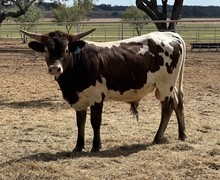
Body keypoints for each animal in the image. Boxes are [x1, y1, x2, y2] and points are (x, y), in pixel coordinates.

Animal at [20, 28, 186, 153]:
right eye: (46, 50)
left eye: (66, 50)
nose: (55, 68)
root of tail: (171, 35)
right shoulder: (80, 99)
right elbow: (80, 122)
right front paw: (78, 146)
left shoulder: (97, 97)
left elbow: (95, 122)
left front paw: (96, 146)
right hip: (171, 86)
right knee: (177, 103)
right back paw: (182, 134)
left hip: (165, 85)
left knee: (167, 107)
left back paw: (158, 137)